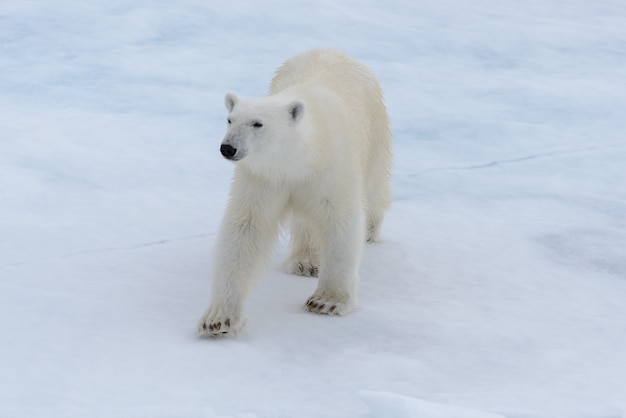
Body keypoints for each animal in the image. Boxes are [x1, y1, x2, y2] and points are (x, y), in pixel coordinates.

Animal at [195, 49, 390, 336]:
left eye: (257, 123)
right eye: (230, 119)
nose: (228, 148)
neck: (298, 160)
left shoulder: (330, 169)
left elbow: (341, 219)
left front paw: (327, 301)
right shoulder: (263, 178)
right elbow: (245, 228)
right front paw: (218, 319)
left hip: (375, 126)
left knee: (375, 186)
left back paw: (369, 231)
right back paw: (306, 260)